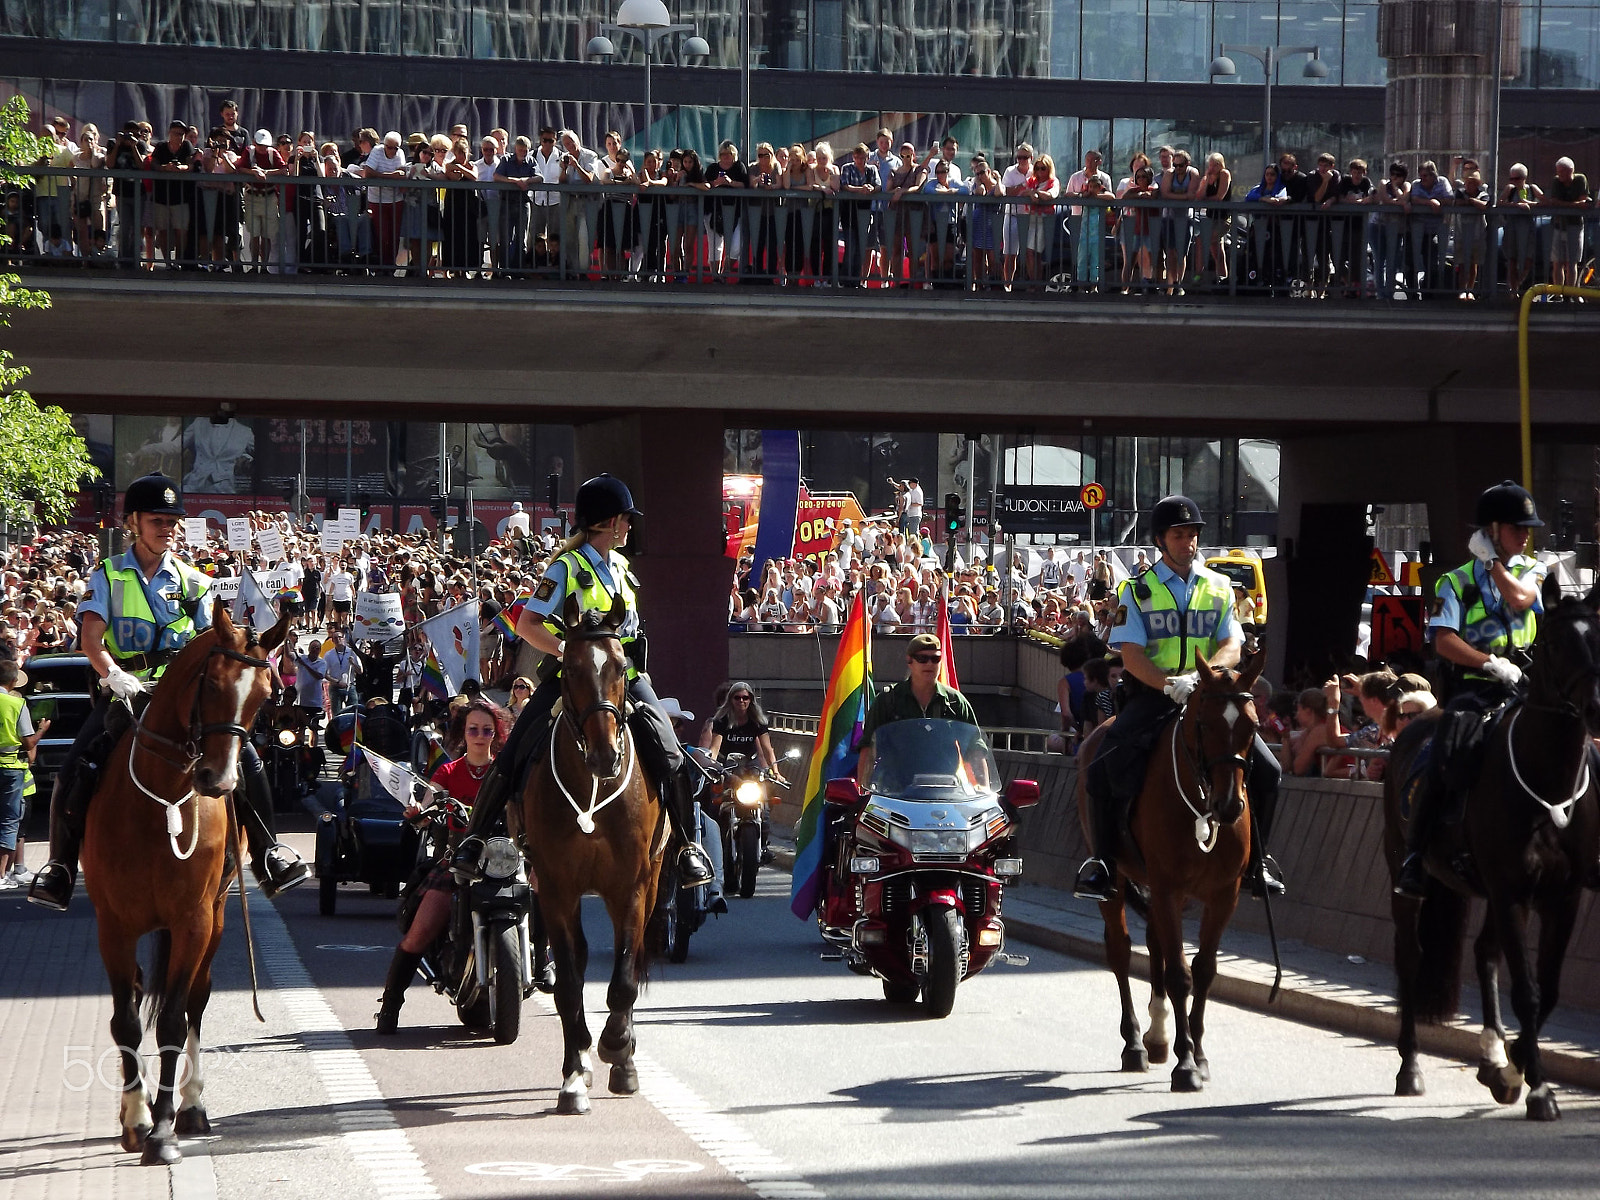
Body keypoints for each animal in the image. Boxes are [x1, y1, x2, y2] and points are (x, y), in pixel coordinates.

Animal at [83, 604, 288, 1171]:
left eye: (265, 693)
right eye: (211, 684)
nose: (219, 781)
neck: (162, 802)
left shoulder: (192, 921)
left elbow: (174, 1021)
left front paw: (163, 1132)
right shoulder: (113, 926)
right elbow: (126, 1021)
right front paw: (137, 1121)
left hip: (214, 920)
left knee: (196, 999)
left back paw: (191, 1108)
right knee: (136, 996)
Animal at [521, 595, 665, 1120]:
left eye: (622, 667)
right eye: (571, 668)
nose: (606, 755)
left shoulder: (632, 887)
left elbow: (623, 979)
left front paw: (618, 1050)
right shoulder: (555, 888)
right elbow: (567, 985)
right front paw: (572, 1077)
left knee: (632, 959)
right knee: (579, 963)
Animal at [1081, 652, 1267, 1094]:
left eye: (1252, 726)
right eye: (1205, 723)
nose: (1229, 806)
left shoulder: (1223, 895)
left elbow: (1203, 971)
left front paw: (1198, 1055)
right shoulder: (1167, 888)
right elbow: (1180, 975)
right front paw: (1186, 1066)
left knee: (1155, 945)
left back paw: (1158, 1036)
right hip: (1118, 884)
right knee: (1120, 950)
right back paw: (1135, 1044)